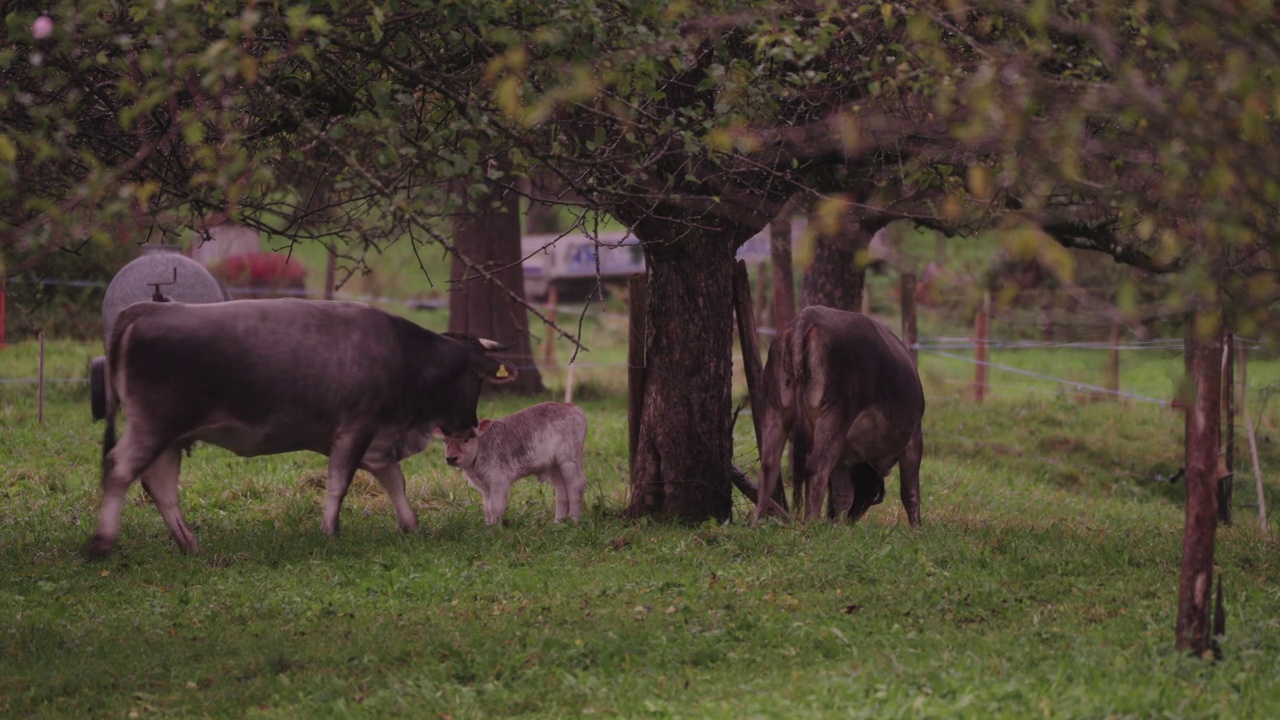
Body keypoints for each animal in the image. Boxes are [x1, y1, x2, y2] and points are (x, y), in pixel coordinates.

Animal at [86, 297, 519, 556]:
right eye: (476, 379)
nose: (470, 428)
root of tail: (148, 308)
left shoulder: (379, 441)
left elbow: (395, 482)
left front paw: (410, 525)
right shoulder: (355, 429)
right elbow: (339, 482)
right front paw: (330, 531)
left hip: (170, 436)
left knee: (159, 484)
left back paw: (189, 543)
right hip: (154, 424)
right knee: (120, 469)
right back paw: (102, 542)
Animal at [435, 397, 586, 520]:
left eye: (467, 439)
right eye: (444, 440)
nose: (451, 458)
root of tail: (571, 406)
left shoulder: (499, 480)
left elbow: (495, 507)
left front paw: (495, 532)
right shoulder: (485, 487)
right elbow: (487, 508)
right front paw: (488, 529)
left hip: (569, 459)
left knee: (576, 486)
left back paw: (574, 521)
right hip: (554, 465)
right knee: (561, 491)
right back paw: (558, 523)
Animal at [747, 304, 921, 525]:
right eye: (873, 496)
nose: (852, 520)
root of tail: (807, 317)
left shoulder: (844, 457)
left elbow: (841, 494)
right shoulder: (914, 436)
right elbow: (910, 493)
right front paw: (917, 528)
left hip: (775, 409)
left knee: (769, 466)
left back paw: (756, 522)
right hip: (834, 416)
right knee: (816, 468)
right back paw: (811, 523)